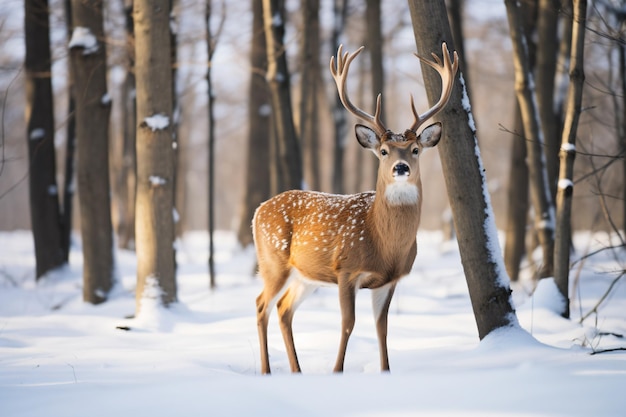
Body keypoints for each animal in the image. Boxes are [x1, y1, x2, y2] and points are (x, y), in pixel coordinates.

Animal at [251, 43, 456, 374]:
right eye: (383, 151)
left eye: (415, 150)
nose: (400, 167)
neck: (384, 243)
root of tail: (258, 210)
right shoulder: (346, 269)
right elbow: (348, 323)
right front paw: (337, 371)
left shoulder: (390, 279)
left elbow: (382, 328)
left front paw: (386, 371)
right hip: (273, 261)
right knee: (261, 305)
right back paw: (267, 371)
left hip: (305, 275)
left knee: (283, 309)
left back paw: (297, 370)